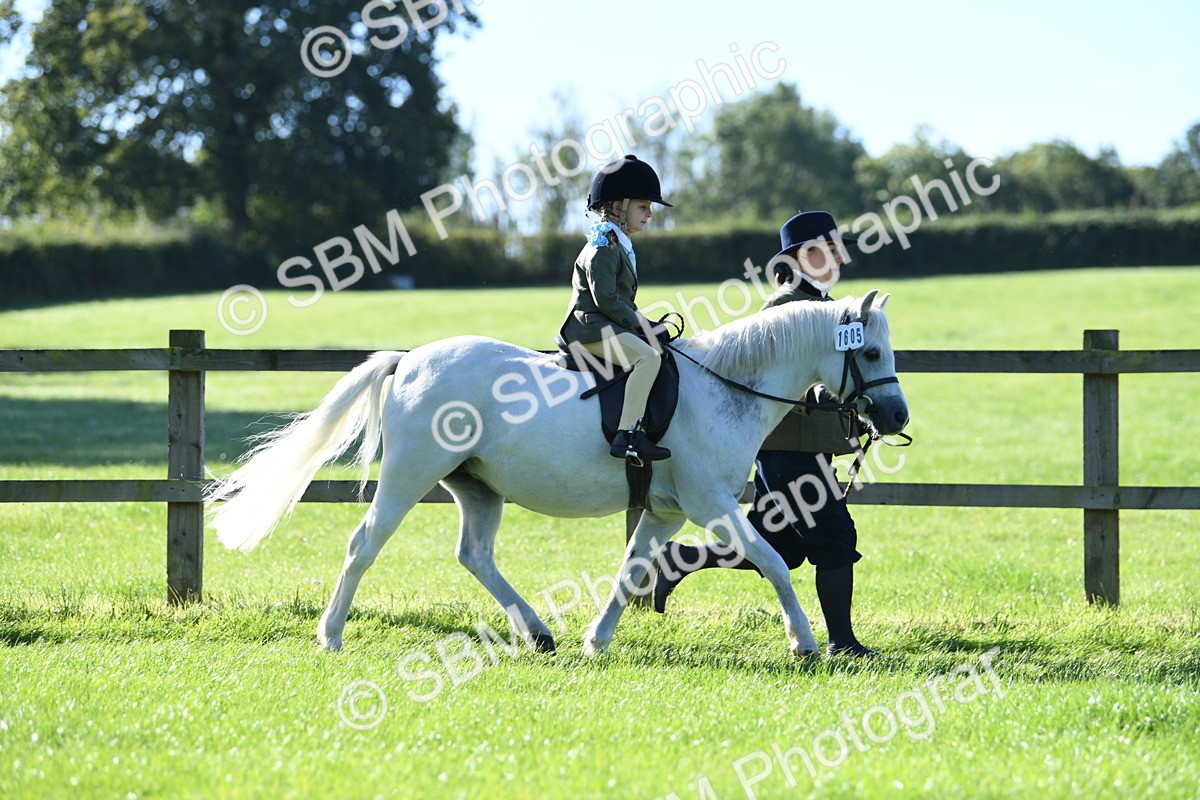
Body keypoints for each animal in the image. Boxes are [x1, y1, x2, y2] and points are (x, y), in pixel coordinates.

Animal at [206, 290, 909, 658]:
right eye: (872, 351)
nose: (896, 415)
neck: (725, 386)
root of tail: (408, 361)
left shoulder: (666, 511)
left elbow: (632, 571)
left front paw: (597, 642)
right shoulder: (711, 503)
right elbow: (772, 561)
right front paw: (805, 643)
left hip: (477, 487)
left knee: (474, 555)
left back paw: (539, 632)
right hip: (409, 476)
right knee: (363, 546)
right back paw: (329, 636)